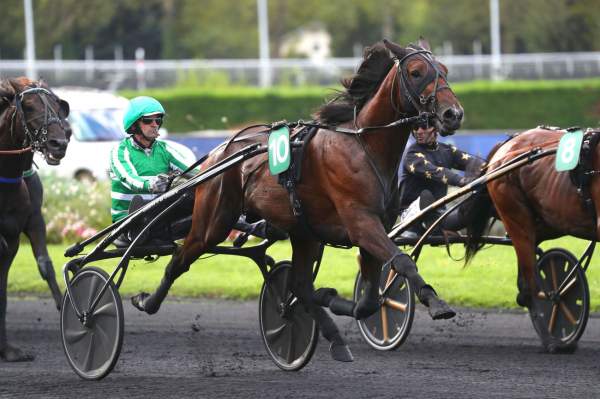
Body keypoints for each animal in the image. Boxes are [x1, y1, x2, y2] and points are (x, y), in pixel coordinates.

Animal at [0, 78, 71, 362]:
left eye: (57, 104)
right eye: (28, 106)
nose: (59, 142)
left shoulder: (22, 227)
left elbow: (44, 266)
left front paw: (8, 350)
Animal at [131, 39, 464, 362]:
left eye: (445, 70)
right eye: (416, 72)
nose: (453, 114)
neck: (362, 146)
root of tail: (220, 151)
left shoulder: (373, 226)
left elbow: (369, 301)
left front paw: (333, 297)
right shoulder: (361, 224)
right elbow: (403, 262)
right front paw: (437, 303)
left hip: (303, 232)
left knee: (300, 286)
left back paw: (333, 335)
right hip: (214, 221)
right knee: (179, 259)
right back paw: (147, 301)